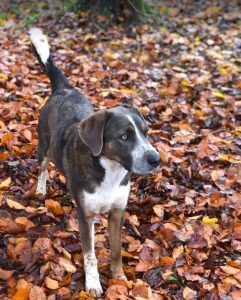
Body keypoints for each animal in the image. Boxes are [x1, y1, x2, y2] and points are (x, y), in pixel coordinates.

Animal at [29, 28, 160, 298]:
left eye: (146, 133)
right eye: (124, 137)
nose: (156, 160)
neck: (110, 171)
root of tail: (64, 89)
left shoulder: (118, 212)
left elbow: (117, 249)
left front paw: (119, 278)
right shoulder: (85, 216)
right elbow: (90, 255)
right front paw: (93, 284)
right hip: (43, 144)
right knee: (43, 167)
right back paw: (40, 189)